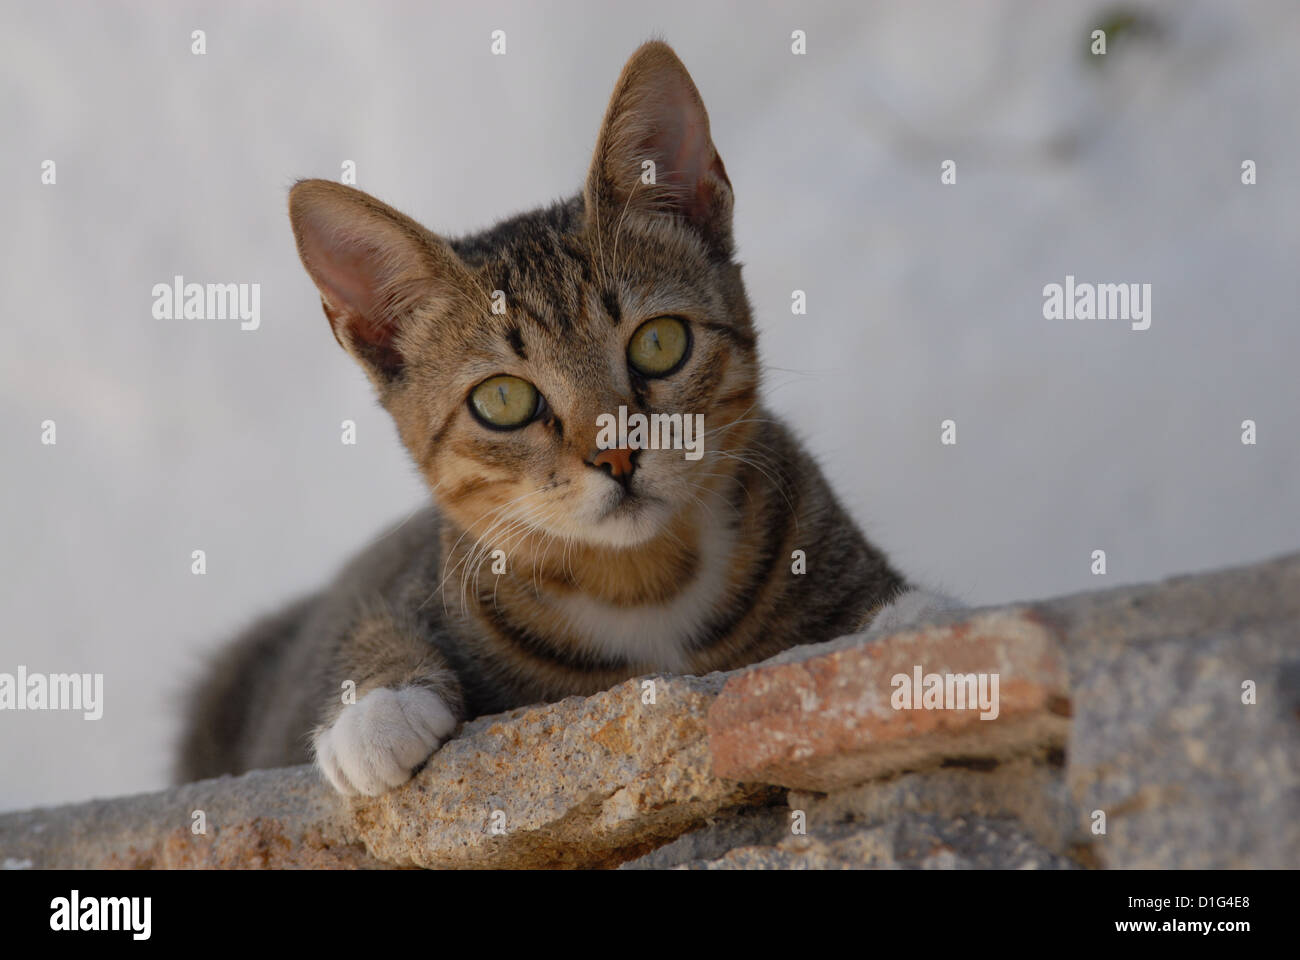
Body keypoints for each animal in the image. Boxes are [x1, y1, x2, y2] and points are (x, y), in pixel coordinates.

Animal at [175, 41, 956, 796]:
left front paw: (904, 637)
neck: (641, 579)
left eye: (659, 343)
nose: (616, 454)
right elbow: (373, 620)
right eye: (503, 400)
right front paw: (377, 711)